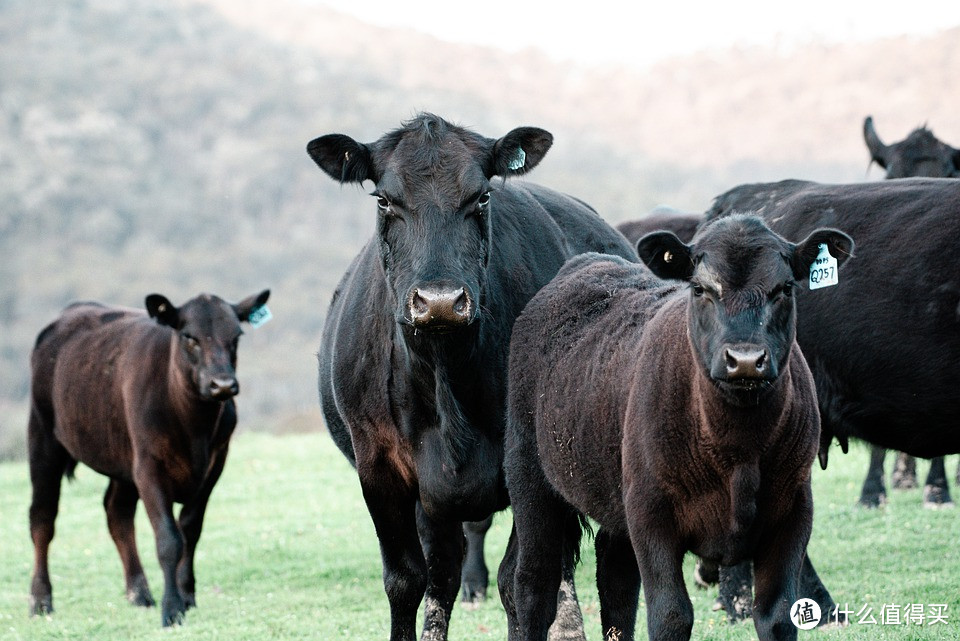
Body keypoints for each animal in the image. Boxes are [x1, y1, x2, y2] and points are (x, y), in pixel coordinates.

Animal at [29, 290, 270, 624]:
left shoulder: (214, 464)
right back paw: (41, 600)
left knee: (117, 514)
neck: (195, 427)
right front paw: (172, 609)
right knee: (42, 518)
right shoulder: (149, 466)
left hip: (121, 458)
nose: (222, 384)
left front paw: (187, 595)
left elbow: (190, 530)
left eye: (236, 336)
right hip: (43, 438)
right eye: (189, 337)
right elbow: (168, 538)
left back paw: (139, 593)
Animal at [310, 114, 636, 640]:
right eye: (384, 199)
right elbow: (407, 579)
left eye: (482, 196)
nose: (440, 300)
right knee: (443, 572)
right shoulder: (378, 465)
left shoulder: (527, 466)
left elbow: (520, 584)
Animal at [506, 215, 852, 640]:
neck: (739, 451)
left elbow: (778, 614)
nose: (746, 360)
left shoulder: (793, 512)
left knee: (616, 578)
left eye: (785, 288)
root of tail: (584, 265)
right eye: (701, 288)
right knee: (533, 583)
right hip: (528, 474)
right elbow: (671, 614)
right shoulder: (651, 514)